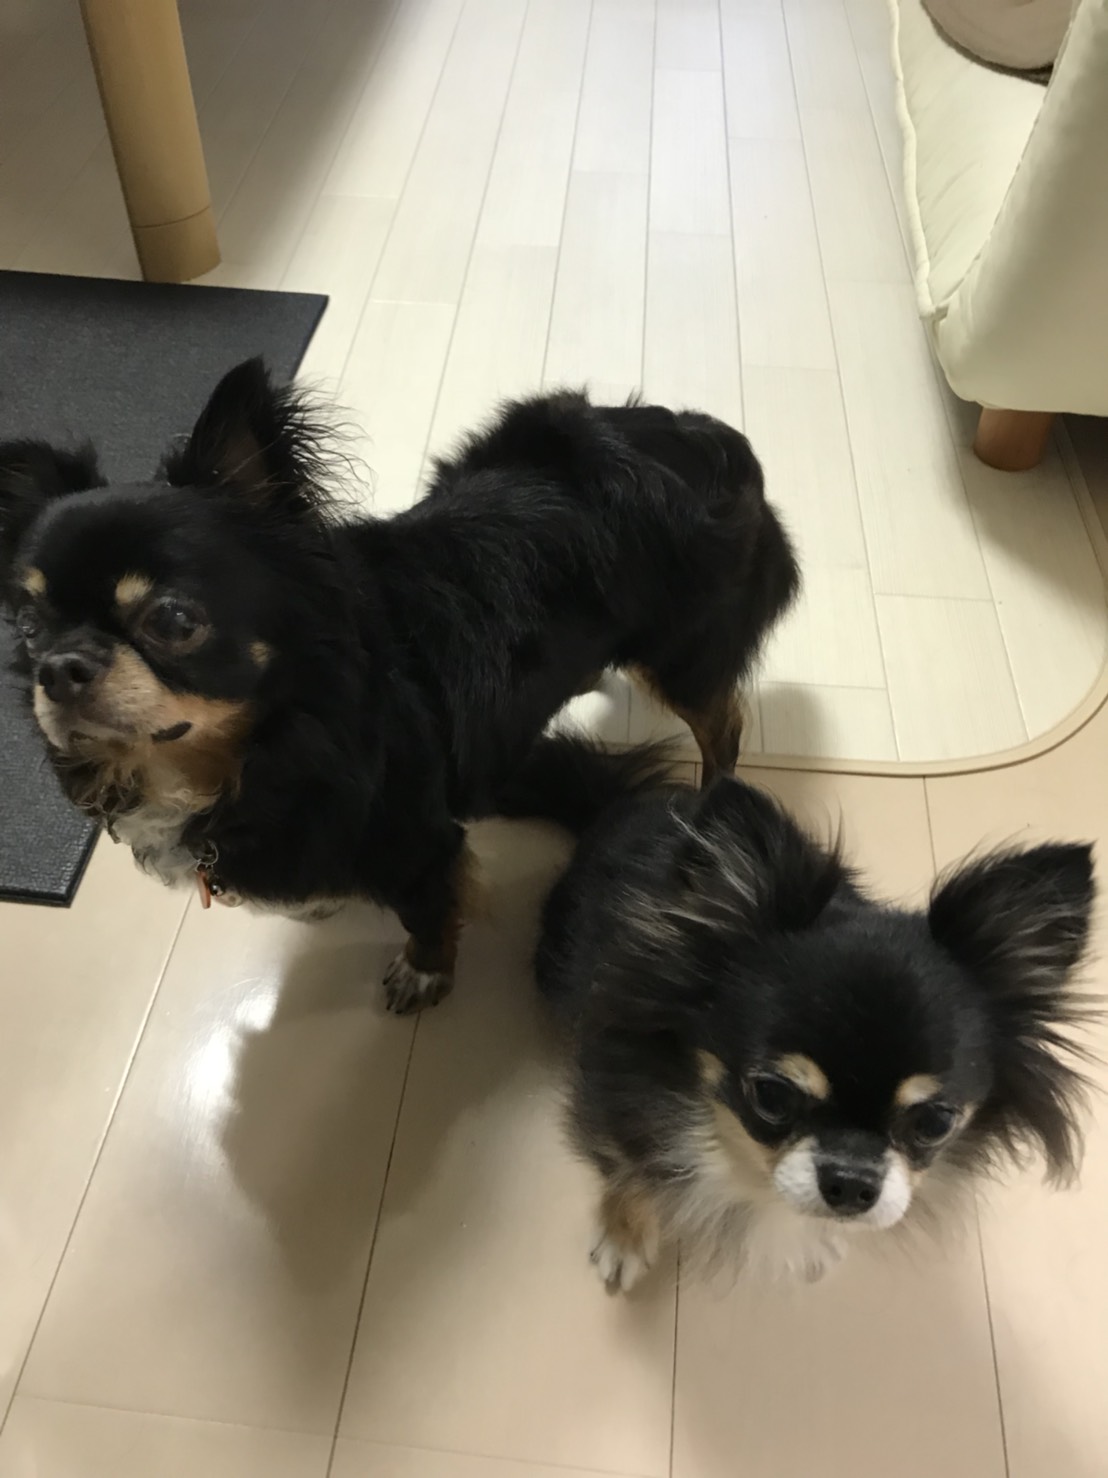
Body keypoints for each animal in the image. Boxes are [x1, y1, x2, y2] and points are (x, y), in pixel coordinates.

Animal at [0, 359, 798, 1011]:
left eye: (172, 619)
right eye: (30, 627)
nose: (60, 667)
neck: (271, 741)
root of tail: (706, 436)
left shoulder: (418, 846)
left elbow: (428, 914)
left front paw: (425, 972)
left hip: (683, 655)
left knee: (723, 724)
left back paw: (712, 797)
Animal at [499, 735, 1097, 1291]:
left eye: (935, 1122)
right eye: (771, 1095)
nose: (852, 1183)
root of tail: (619, 804)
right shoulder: (616, 1080)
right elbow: (629, 1159)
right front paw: (624, 1233)